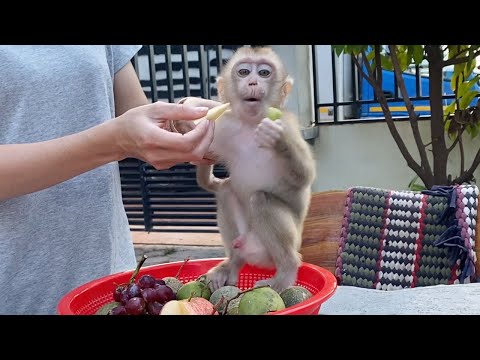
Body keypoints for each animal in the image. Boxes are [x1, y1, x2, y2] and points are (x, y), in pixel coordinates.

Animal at [195, 45, 316, 292]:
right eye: (243, 72)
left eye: (263, 73)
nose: (252, 82)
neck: (252, 125)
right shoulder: (226, 124)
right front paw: (208, 176)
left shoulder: (288, 123)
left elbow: (305, 176)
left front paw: (277, 140)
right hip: (243, 240)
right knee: (226, 192)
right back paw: (232, 264)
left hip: (280, 247)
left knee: (261, 199)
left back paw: (286, 269)